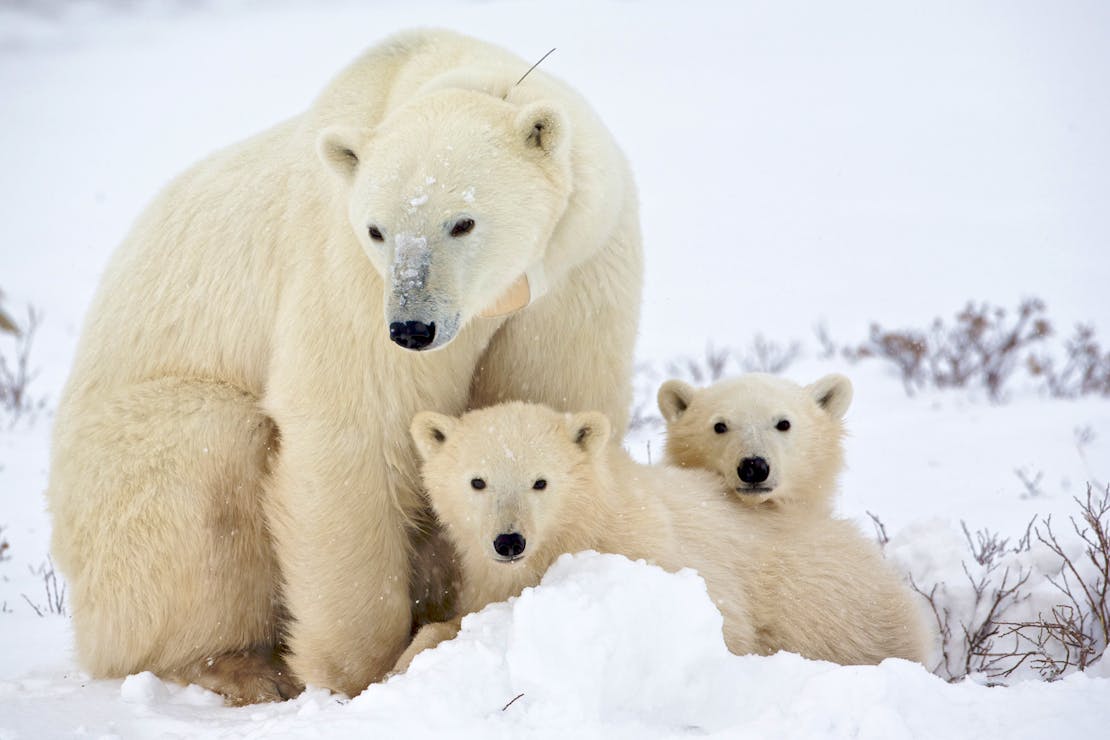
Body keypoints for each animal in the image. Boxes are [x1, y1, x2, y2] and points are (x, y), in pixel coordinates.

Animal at [46, 29, 642, 704]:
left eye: (462, 221)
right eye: (378, 229)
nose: (412, 328)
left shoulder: (577, 270)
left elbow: (549, 399)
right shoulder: (347, 270)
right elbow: (353, 425)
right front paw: (361, 672)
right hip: (118, 483)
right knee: (207, 458)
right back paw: (241, 666)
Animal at [392, 402, 930, 674]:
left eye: (540, 482)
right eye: (477, 481)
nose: (509, 541)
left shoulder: (653, 555)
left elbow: (724, 628)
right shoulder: (488, 577)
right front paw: (409, 658)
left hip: (836, 609)